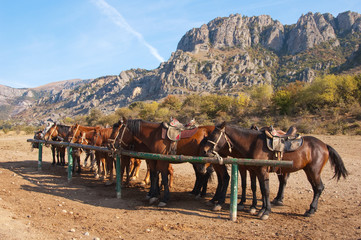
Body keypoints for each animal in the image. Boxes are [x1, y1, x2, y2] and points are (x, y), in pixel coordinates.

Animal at [201, 122, 348, 219]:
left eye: (215, 135)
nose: (205, 150)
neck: (253, 144)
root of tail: (324, 145)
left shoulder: (262, 171)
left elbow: (265, 190)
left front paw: (265, 212)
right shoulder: (257, 171)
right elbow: (261, 189)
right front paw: (261, 209)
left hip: (314, 171)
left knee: (319, 188)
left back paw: (310, 210)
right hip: (308, 171)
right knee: (315, 188)